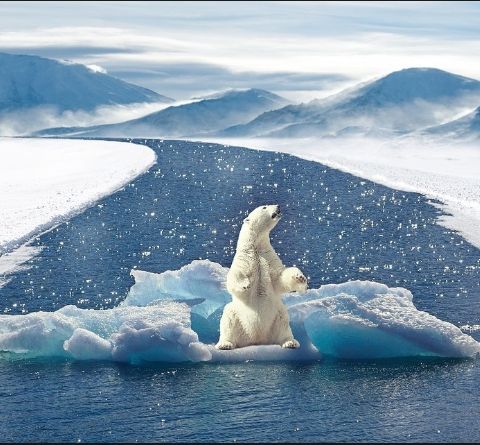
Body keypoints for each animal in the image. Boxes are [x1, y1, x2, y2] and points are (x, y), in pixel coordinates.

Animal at [215, 203, 308, 348]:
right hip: (237, 315)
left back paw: (290, 342)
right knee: (228, 318)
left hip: (276, 315)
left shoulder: (268, 257)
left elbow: (279, 277)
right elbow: (234, 276)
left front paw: (300, 277)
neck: (256, 247)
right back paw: (225, 344)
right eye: (264, 207)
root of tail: (257, 339)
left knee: (283, 321)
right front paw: (245, 284)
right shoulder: (244, 259)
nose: (278, 206)